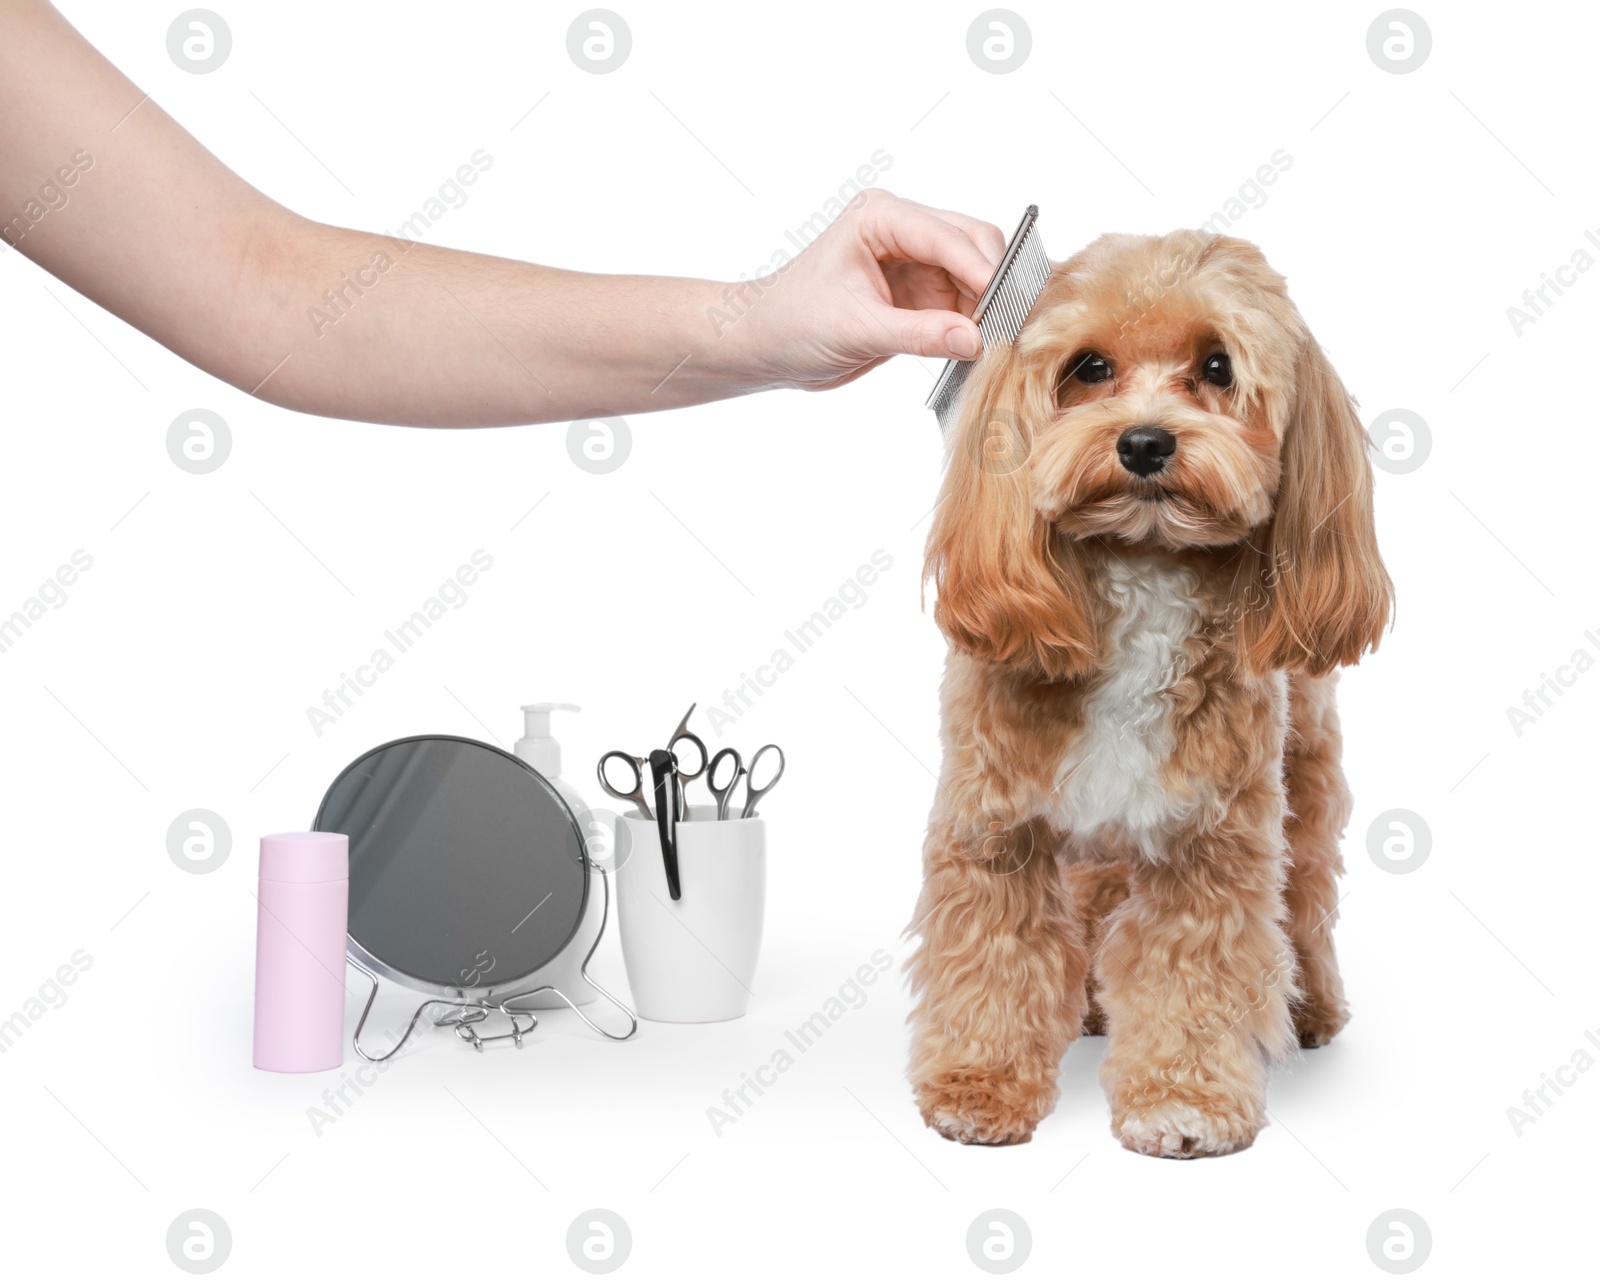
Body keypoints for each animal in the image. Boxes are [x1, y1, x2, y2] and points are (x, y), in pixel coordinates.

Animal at [915, 227, 1388, 1152]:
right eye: (1090, 367)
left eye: (1217, 367)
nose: (1143, 443)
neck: (1140, 566)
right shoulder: (994, 826)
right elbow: (994, 955)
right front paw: (979, 1084)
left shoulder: (1209, 840)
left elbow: (1192, 972)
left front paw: (1184, 1100)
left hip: (1305, 778)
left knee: (1307, 892)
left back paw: (1308, 1005)